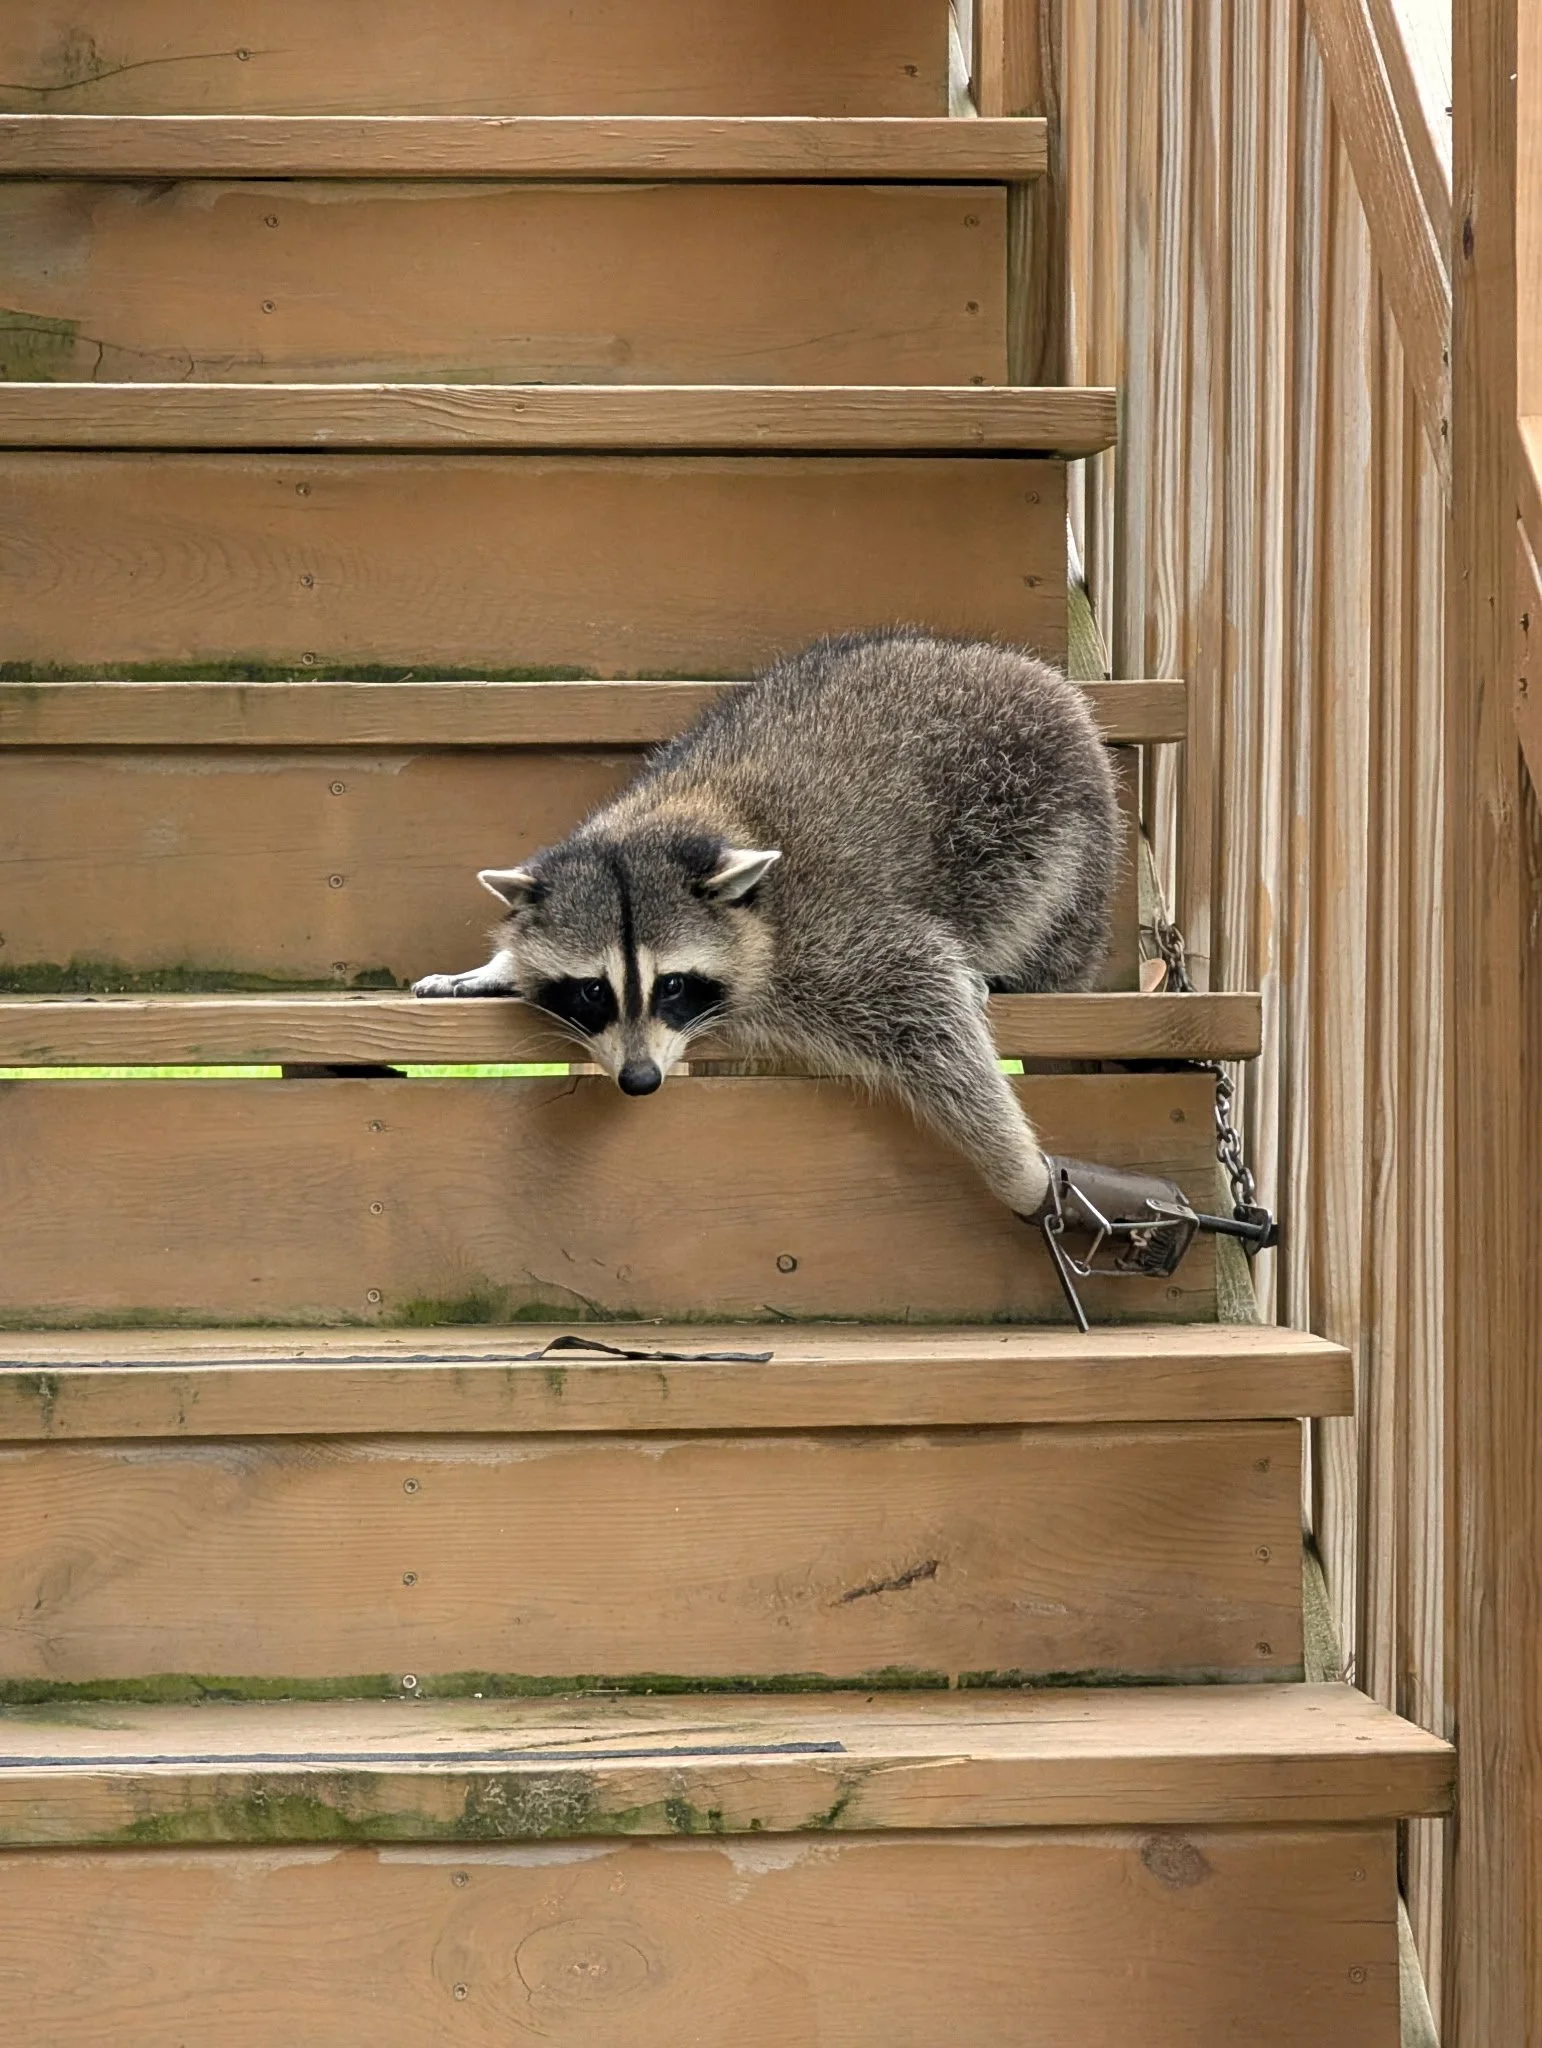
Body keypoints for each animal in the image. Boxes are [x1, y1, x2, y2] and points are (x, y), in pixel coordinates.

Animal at [414, 630, 1121, 1218]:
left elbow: (931, 1012)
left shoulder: (837, 939)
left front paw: (1016, 1167)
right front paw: (496, 966)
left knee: (1025, 888)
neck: (659, 823)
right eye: (593, 991)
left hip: (1041, 814)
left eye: (672, 985)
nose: (639, 1081)